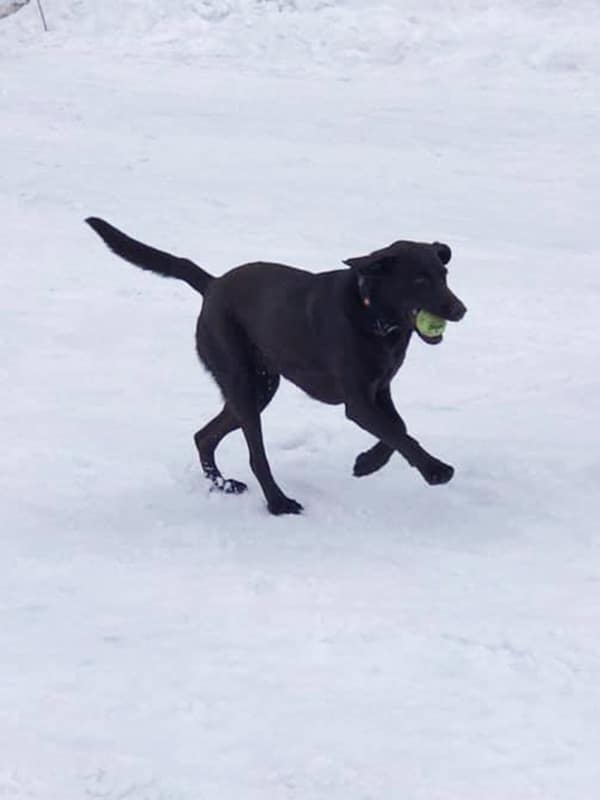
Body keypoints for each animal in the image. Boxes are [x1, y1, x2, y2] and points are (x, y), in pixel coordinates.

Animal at [86, 216, 466, 516]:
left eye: (444, 274)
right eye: (419, 280)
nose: (461, 310)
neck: (372, 313)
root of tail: (213, 284)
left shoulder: (379, 388)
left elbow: (397, 429)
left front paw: (366, 464)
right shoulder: (358, 401)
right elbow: (396, 433)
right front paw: (435, 470)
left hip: (261, 385)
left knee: (204, 435)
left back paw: (223, 485)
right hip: (242, 379)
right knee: (256, 455)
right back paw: (278, 503)